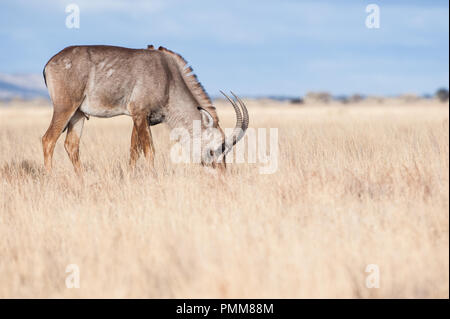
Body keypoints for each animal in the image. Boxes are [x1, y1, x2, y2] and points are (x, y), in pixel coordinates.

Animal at [42, 44, 248, 174]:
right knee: (48, 140)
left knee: (71, 146)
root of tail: (50, 63)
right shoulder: (140, 114)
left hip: (79, 114)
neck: (168, 76)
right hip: (65, 108)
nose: (221, 175)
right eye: (215, 149)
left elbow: (134, 152)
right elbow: (149, 151)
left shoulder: (142, 119)